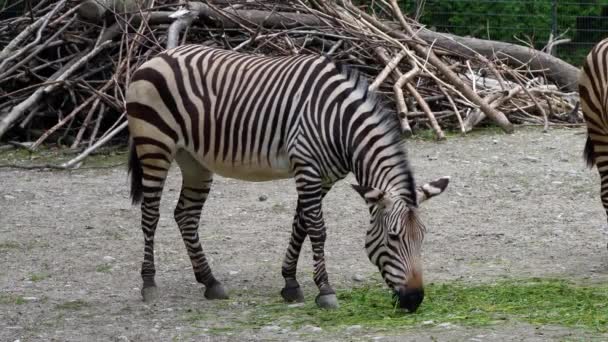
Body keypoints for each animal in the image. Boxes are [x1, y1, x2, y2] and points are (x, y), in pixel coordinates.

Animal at [127, 45, 452, 312]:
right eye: (393, 237)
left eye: (422, 237)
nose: (414, 300)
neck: (340, 124)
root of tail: (158, 55)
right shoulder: (307, 168)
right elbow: (317, 229)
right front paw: (325, 291)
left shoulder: (323, 177)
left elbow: (300, 226)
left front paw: (291, 284)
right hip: (154, 144)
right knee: (150, 214)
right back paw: (149, 284)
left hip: (194, 160)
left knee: (186, 215)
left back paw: (210, 281)